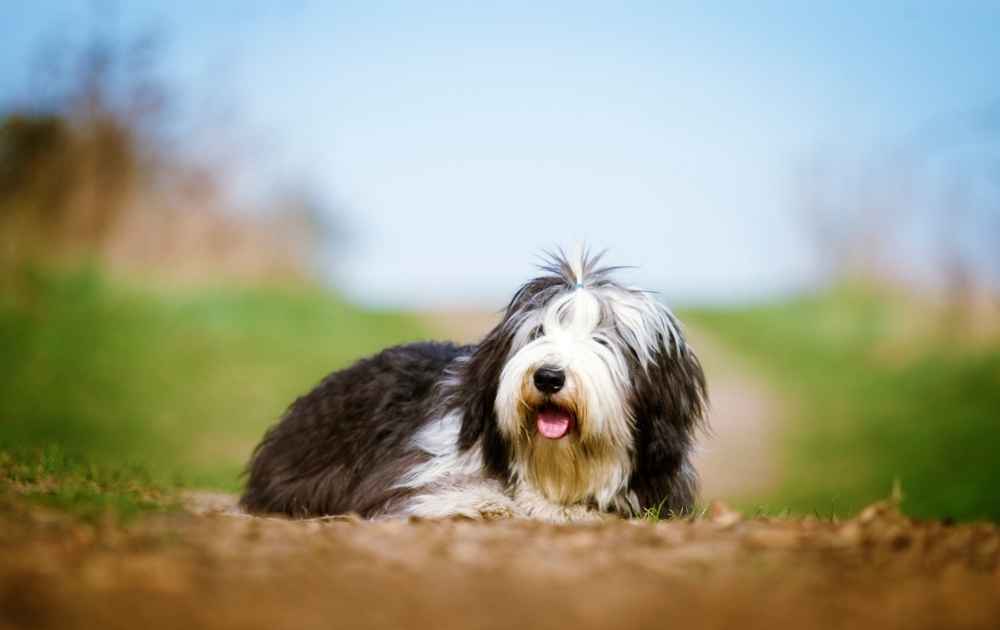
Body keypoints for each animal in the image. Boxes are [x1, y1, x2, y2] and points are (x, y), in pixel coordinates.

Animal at [240, 252, 712, 524]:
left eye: (603, 339)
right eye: (537, 332)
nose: (548, 376)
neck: (555, 471)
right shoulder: (414, 469)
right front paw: (486, 503)